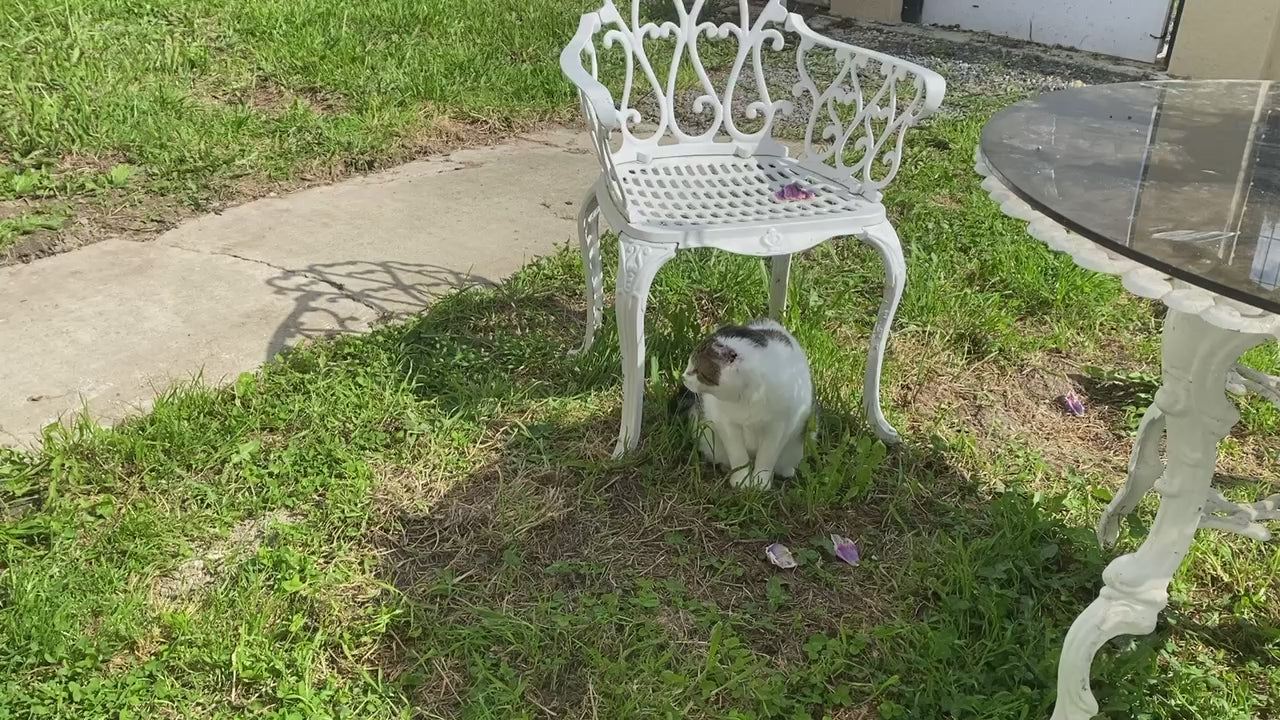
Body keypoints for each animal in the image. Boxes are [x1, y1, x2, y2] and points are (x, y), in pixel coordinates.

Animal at [675, 317, 814, 489]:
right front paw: (741, 480)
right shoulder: (726, 423)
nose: (683, 377)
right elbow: (738, 455)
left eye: (698, 372)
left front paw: (760, 482)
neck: (749, 396)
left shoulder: (779, 427)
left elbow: (767, 456)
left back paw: (786, 470)